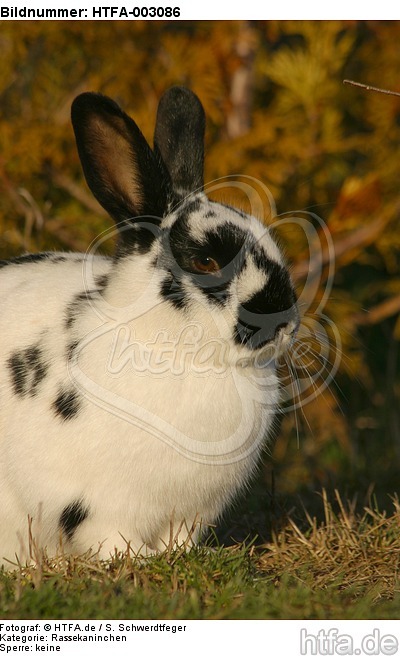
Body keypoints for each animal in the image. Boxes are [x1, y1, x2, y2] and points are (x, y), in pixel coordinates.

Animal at [0, 86, 299, 567]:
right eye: (206, 261)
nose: (284, 317)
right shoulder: (101, 505)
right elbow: (110, 537)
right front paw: (135, 562)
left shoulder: (191, 510)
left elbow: (179, 538)